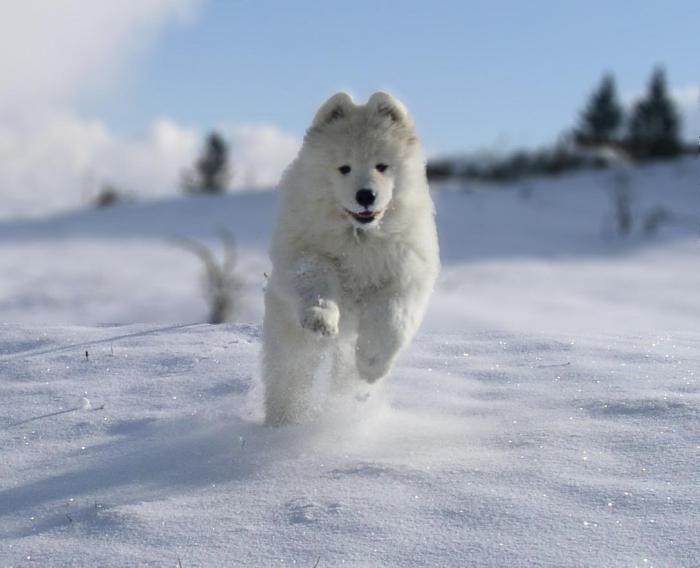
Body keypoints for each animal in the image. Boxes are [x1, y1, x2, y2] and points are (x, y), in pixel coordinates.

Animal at [262, 91, 438, 424]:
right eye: (344, 168)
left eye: (382, 166)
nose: (365, 195)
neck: (359, 236)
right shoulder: (306, 252)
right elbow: (315, 280)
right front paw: (321, 318)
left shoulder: (406, 271)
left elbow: (392, 318)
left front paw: (371, 364)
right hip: (288, 339)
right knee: (288, 380)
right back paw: (284, 423)